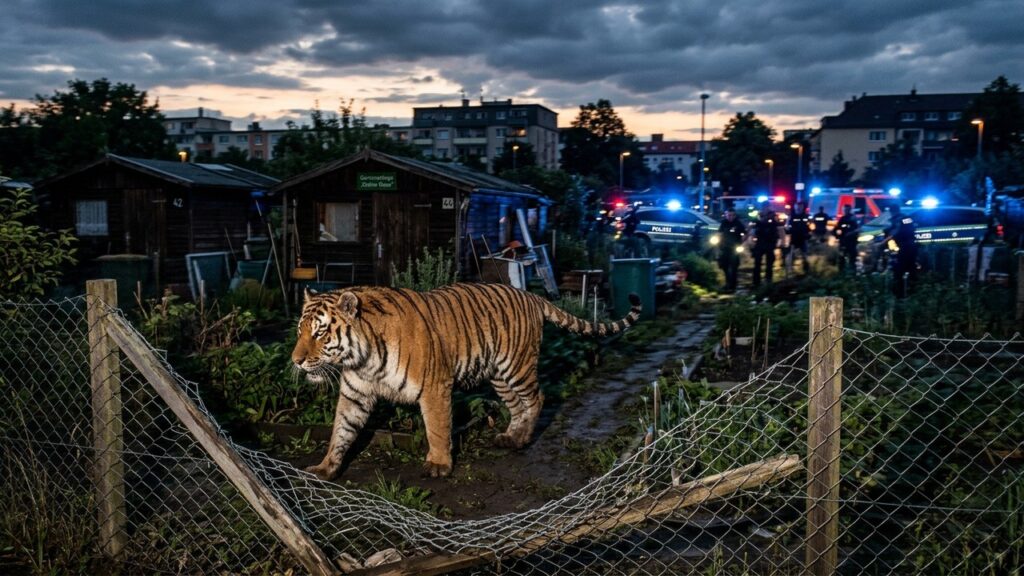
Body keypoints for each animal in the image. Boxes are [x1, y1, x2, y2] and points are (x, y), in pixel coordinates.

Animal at [291, 282, 641, 480]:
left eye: (319, 332)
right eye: (300, 331)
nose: (296, 361)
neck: (363, 359)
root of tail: (531, 294)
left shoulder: (434, 387)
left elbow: (437, 428)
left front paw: (438, 465)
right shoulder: (356, 394)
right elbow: (341, 431)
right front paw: (325, 468)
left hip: (517, 367)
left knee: (536, 398)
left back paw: (524, 439)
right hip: (499, 376)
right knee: (517, 406)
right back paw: (510, 437)